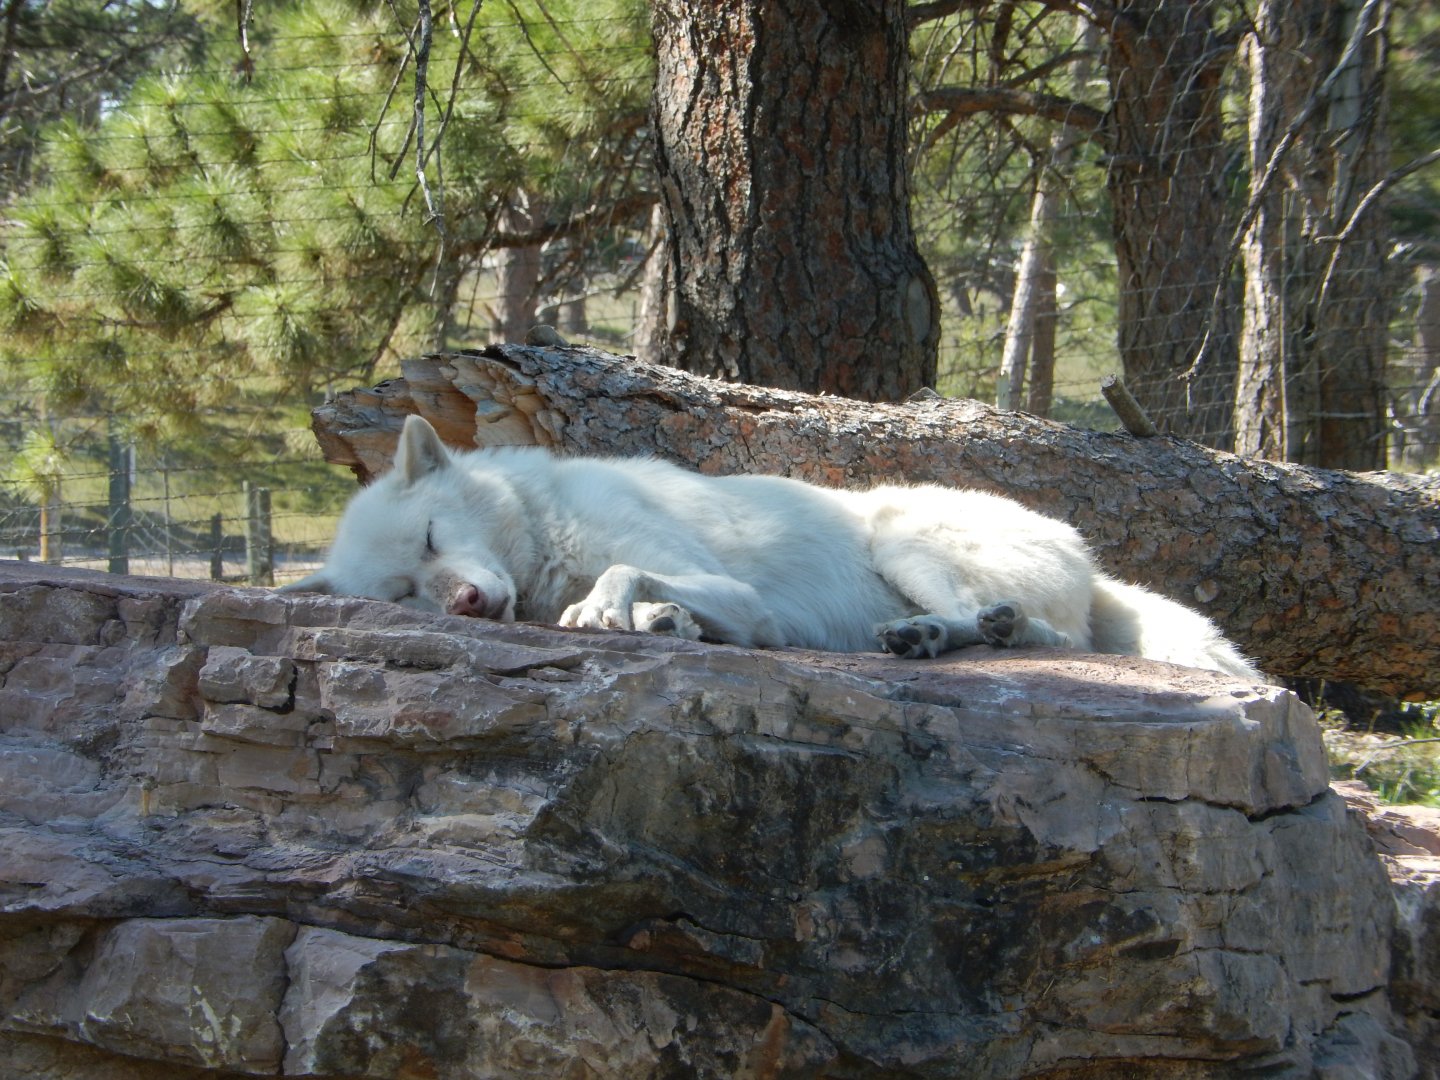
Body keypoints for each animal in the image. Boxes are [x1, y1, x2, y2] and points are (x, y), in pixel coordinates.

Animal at [283, 415, 1260, 679]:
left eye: (433, 538)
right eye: (402, 591)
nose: (464, 604)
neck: (542, 523)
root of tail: (1089, 554)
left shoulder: (738, 594)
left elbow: (621, 568)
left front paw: (606, 608)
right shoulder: (740, 612)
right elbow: (673, 608)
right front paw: (663, 623)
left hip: (903, 540)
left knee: (1035, 634)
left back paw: (947, 635)